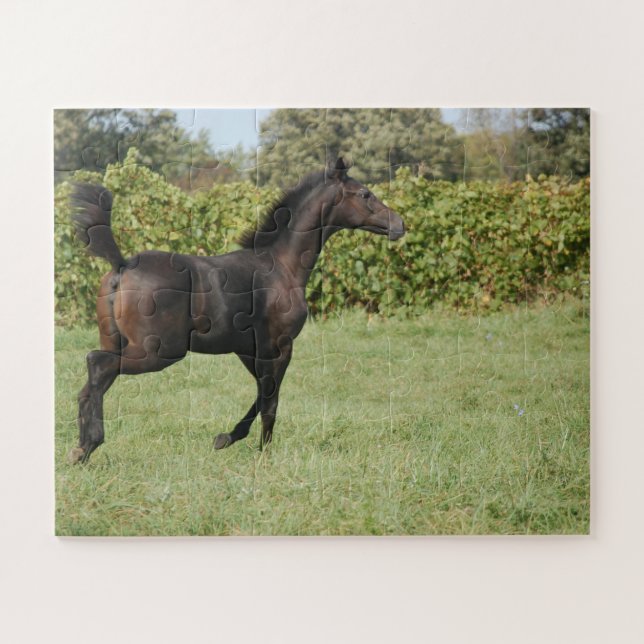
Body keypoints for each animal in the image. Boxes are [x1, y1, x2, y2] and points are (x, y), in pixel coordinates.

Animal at [68, 157, 405, 464]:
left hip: (120, 341)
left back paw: (81, 448)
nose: (399, 225)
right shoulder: (281, 346)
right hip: (159, 351)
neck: (281, 265)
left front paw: (226, 438)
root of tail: (122, 265)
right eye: (365, 194)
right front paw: (262, 454)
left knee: (95, 378)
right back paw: (88, 445)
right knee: (97, 363)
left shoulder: (248, 349)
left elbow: (261, 394)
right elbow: (270, 401)